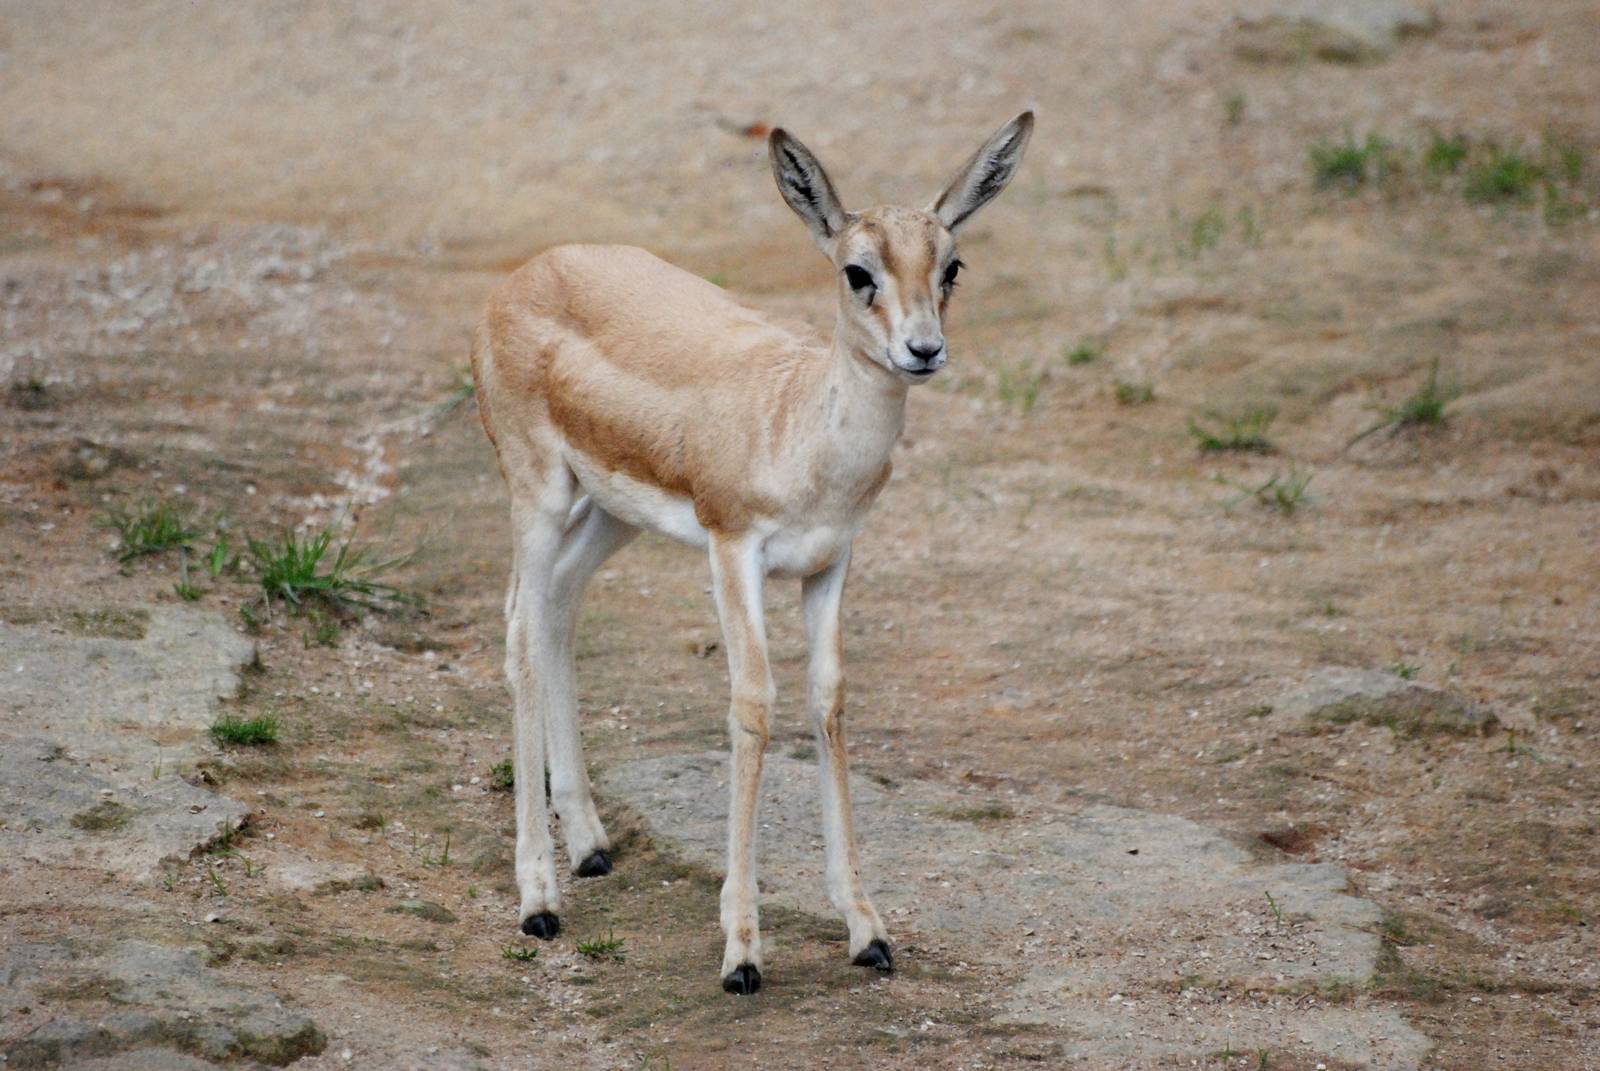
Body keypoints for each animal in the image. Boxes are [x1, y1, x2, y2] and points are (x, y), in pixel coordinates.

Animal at [472, 112, 1033, 994]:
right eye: (857, 270)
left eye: (951, 264)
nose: (923, 349)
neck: (800, 423)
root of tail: (522, 277)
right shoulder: (732, 549)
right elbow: (754, 702)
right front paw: (741, 949)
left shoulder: (830, 562)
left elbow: (828, 698)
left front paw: (867, 929)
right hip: (540, 498)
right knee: (523, 637)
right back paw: (538, 898)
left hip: (609, 516)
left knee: (556, 610)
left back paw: (591, 845)